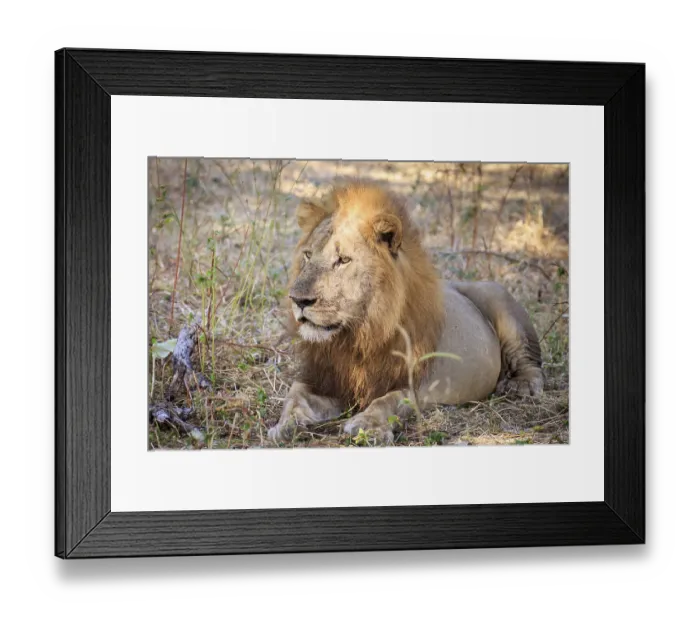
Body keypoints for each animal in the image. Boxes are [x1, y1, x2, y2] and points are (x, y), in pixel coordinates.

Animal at [268, 182, 544, 444]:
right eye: (307, 255)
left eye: (343, 260)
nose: (298, 300)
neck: (358, 334)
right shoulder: (325, 378)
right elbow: (294, 395)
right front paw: (285, 426)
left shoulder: (422, 384)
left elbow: (390, 400)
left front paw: (367, 426)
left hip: (499, 297)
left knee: (531, 361)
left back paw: (521, 385)